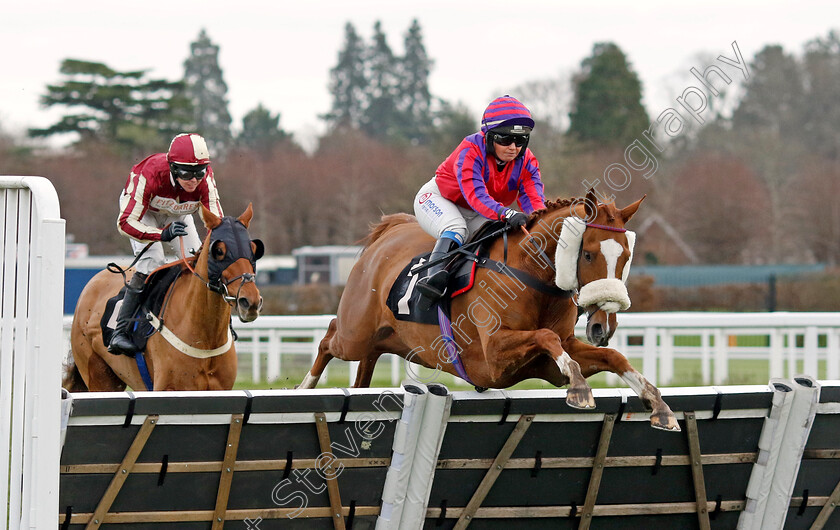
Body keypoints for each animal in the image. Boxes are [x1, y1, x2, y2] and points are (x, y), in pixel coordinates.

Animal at [65, 204, 262, 390]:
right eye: (219, 251)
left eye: (253, 249)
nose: (250, 301)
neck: (206, 338)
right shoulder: (169, 388)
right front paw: (170, 232)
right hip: (99, 376)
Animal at [298, 192, 680, 432]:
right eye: (587, 254)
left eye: (626, 256)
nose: (604, 324)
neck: (532, 275)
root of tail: (389, 231)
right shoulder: (494, 356)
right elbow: (547, 336)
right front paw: (580, 389)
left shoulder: (548, 361)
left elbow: (612, 357)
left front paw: (658, 405)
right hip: (355, 332)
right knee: (328, 337)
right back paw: (305, 387)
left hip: (385, 340)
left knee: (364, 364)